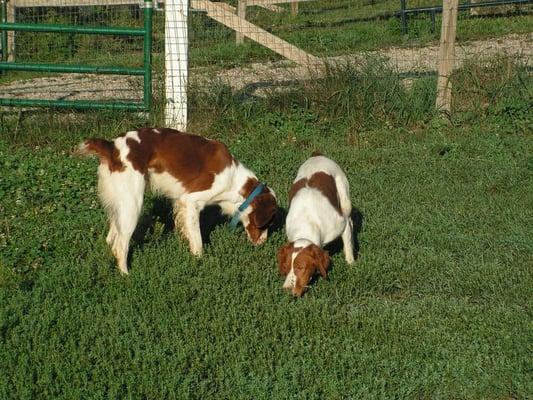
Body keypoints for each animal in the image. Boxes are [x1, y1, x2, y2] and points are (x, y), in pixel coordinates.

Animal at [82, 126, 278, 274]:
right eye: (267, 223)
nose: (263, 244)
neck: (235, 182)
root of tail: (112, 146)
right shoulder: (190, 201)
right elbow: (198, 241)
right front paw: (199, 263)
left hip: (120, 204)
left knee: (110, 238)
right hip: (133, 203)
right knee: (120, 245)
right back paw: (126, 276)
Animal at [276, 153, 352, 296]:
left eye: (301, 267)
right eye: (286, 266)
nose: (287, 289)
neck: (307, 222)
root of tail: (317, 154)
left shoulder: (341, 224)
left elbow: (348, 244)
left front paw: (351, 263)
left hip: (345, 198)